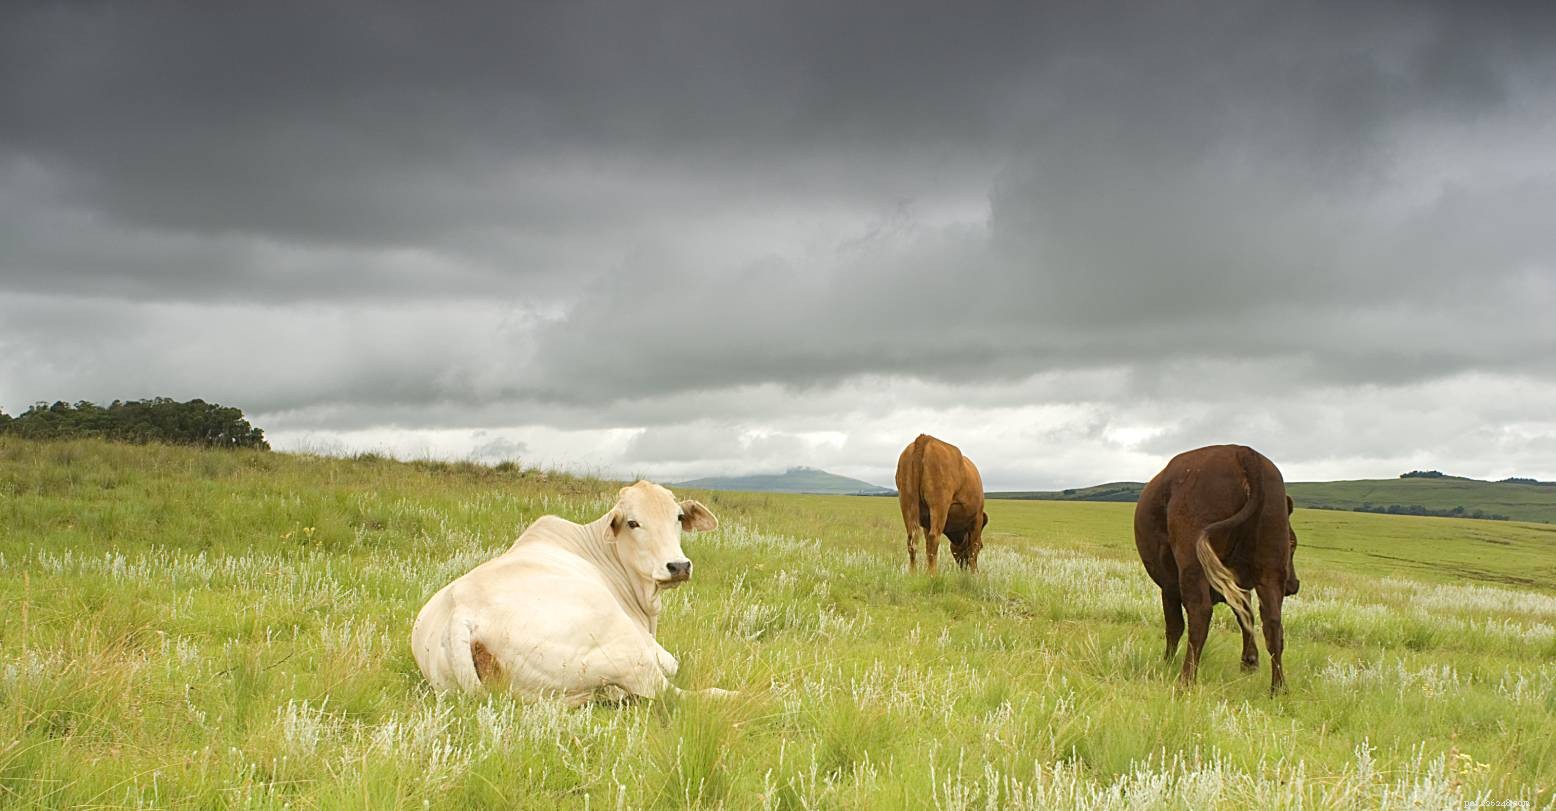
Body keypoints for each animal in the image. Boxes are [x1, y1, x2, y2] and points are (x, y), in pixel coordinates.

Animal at [411, 480, 726, 704]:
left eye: (678, 517)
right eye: (633, 522)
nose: (678, 565)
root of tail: (460, 612)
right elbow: (674, 663)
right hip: (625, 646)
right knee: (674, 693)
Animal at [895, 434, 989, 573]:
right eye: (982, 547)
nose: (963, 569)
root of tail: (925, 438)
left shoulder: (926, 523)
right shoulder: (977, 518)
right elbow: (973, 549)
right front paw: (975, 574)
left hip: (907, 502)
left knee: (913, 540)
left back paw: (913, 574)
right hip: (939, 504)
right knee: (934, 537)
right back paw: (932, 574)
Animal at [1134, 444, 1301, 693]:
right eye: (1292, 543)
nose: (1294, 585)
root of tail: (1244, 452)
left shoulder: (1169, 585)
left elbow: (1174, 625)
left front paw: (1166, 663)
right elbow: (1246, 615)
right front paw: (1250, 661)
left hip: (1192, 564)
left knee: (1199, 614)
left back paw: (1185, 680)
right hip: (1270, 569)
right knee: (1273, 625)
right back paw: (1278, 689)